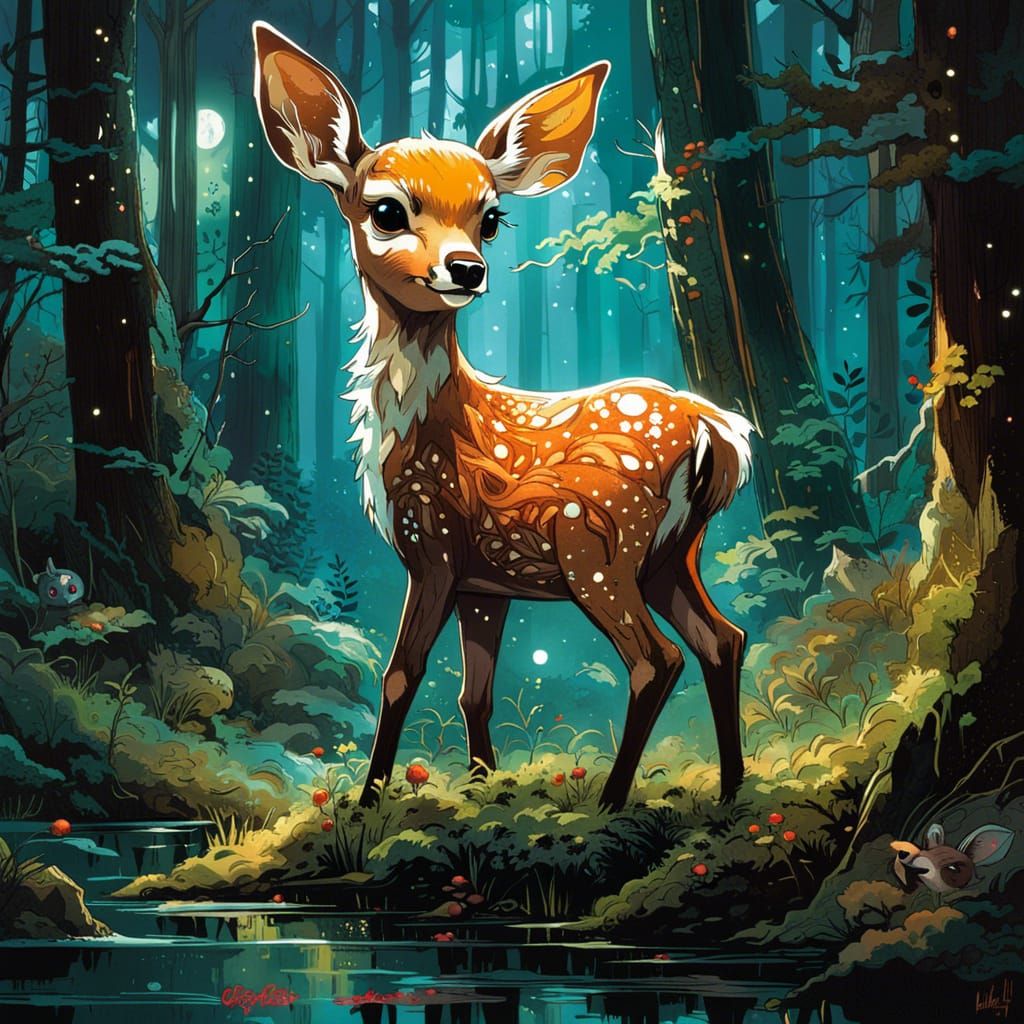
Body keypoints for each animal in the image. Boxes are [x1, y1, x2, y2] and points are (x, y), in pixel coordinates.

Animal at [252, 22, 755, 811]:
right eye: (387, 210)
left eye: (490, 217)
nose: (467, 268)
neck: (423, 427)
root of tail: (717, 432)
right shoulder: (483, 581)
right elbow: (473, 693)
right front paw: (483, 790)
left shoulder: (432, 543)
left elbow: (401, 676)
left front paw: (367, 805)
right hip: (672, 553)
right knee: (723, 639)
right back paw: (732, 792)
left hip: (599, 544)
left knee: (656, 659)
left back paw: (611, 801)